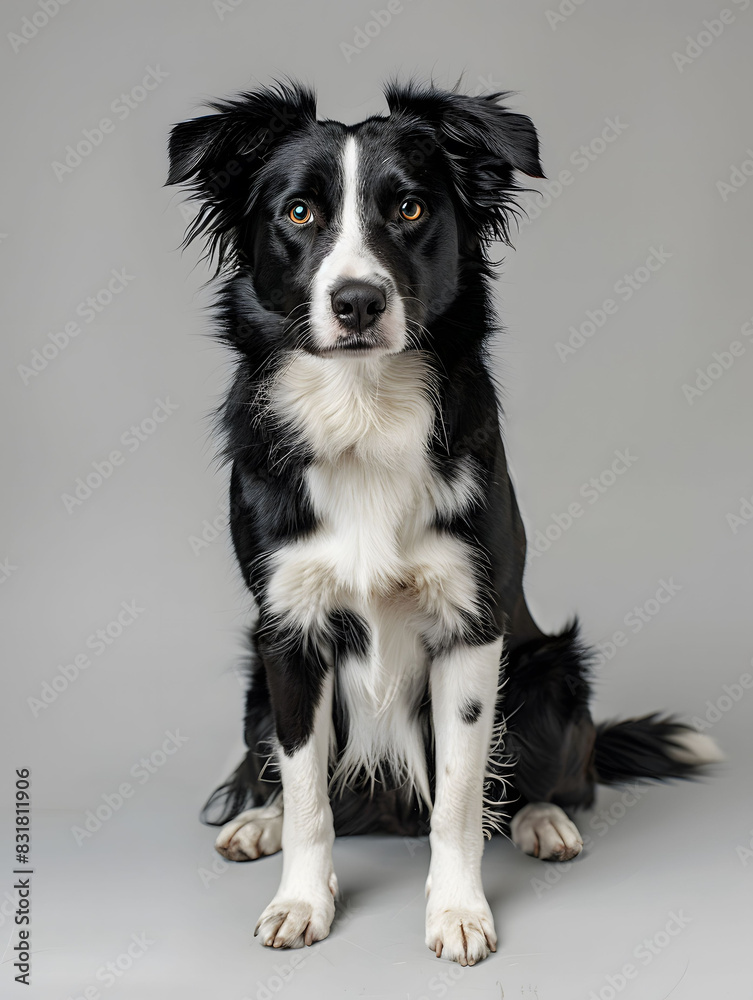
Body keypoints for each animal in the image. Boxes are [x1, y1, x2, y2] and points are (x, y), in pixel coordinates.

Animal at [167, 82, 720, 964]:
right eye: (297, 212)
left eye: (410, 207)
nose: (357, 301)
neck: (363, 412)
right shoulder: (288, 630)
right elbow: (307, 789)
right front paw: (301, 899)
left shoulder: (470, 627)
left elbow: (460, 796)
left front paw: (458, 912)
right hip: (257, 678)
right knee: (285, 772)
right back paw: (257, 819)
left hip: (546, 672)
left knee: (557, 778)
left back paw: (543, 820)